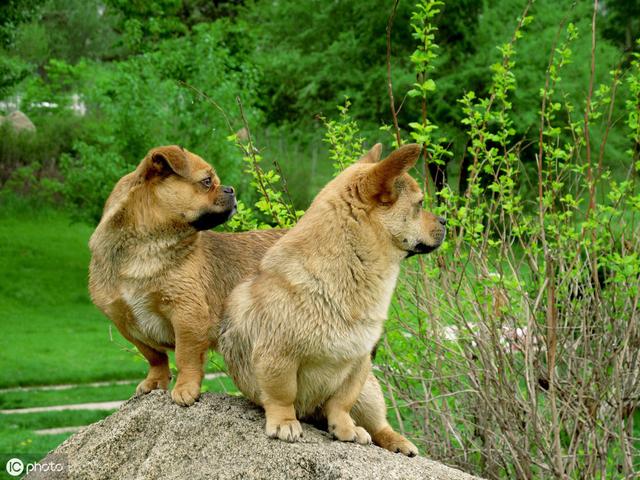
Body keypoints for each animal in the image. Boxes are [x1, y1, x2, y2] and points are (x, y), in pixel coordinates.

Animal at [220, 142, 444, 454]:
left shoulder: (358, 364)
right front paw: (284, 422)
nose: (445, 220)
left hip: (370, 394)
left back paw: (396, 441)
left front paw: (346, 428)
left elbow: (341, 403)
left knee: (378, 425)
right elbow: (281, 395)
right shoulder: (277, 357)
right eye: (420, 204)